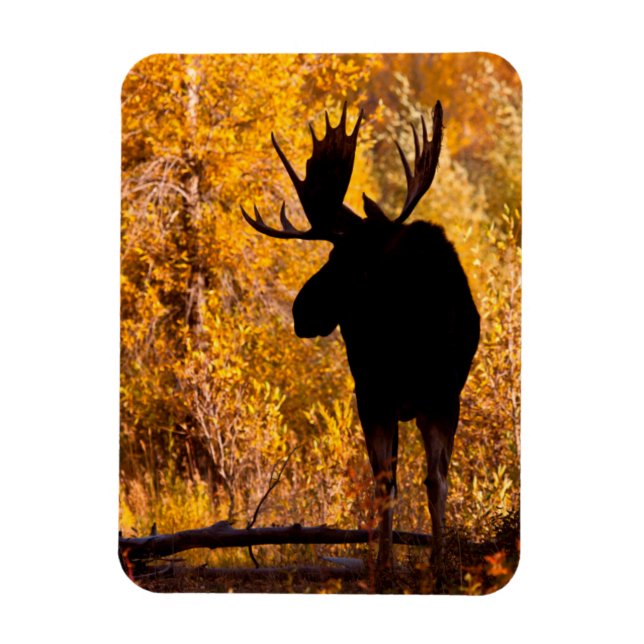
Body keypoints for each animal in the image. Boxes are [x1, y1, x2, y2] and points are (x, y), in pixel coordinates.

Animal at [241, 102, 480, 583]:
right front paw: (399, 563)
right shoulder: (395, 397)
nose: (300, 311)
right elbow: (398, 482)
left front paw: (418, 564)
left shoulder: (411, 397)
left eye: (338, 258)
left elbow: (425, 481)